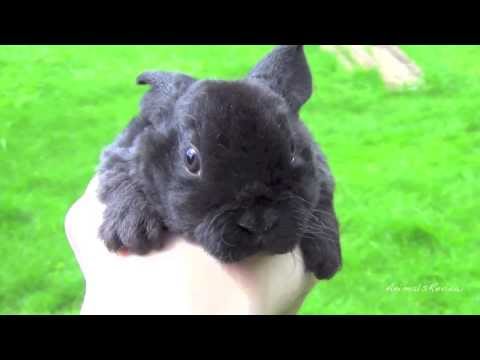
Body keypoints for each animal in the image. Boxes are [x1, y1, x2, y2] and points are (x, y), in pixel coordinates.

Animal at [95, 45, 342, 280]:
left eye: (292, 149)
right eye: (191, 160)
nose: (259, 221)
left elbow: (322, 200)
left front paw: (327, 256)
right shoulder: (119, 155)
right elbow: (122, 180)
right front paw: (130, 230)